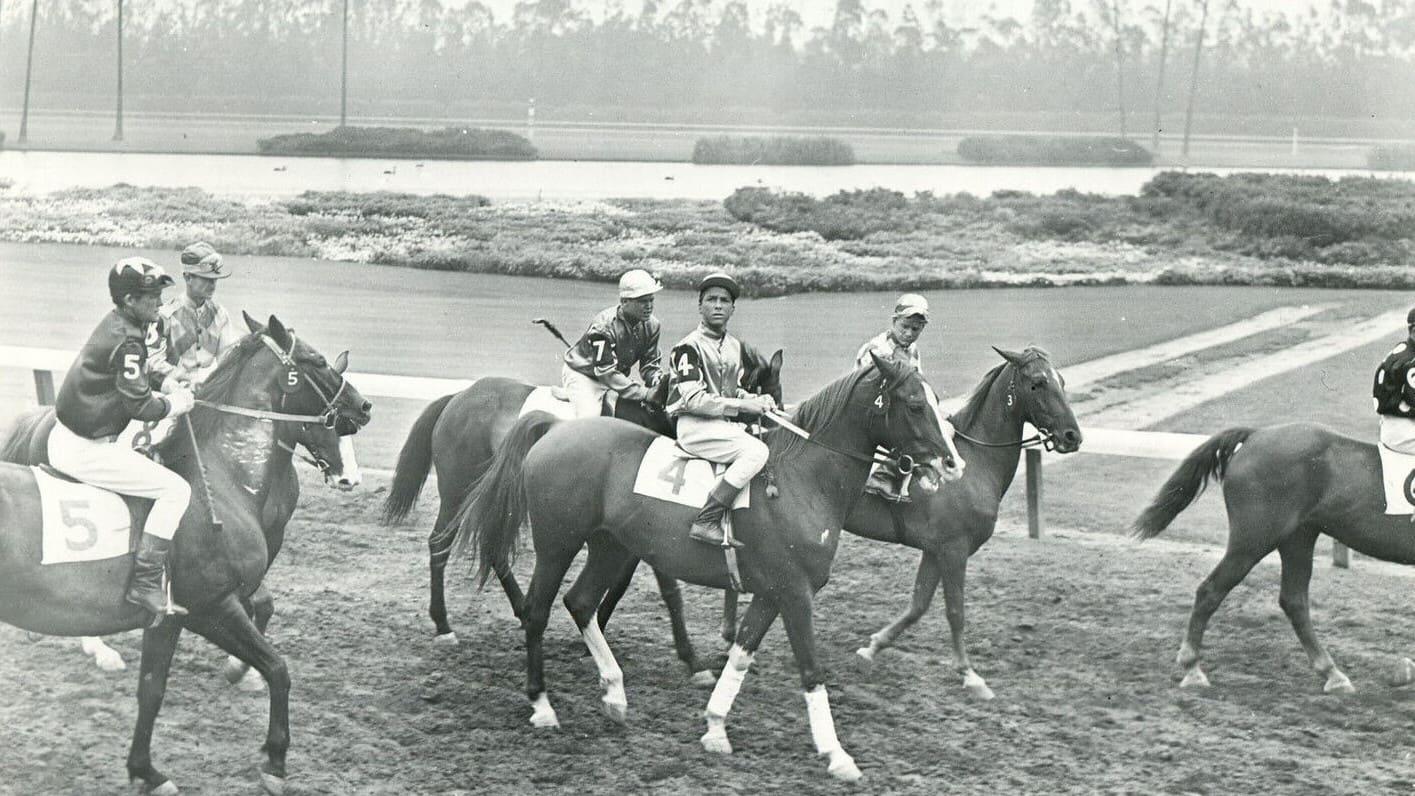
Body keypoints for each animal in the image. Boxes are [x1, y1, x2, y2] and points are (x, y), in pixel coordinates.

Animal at [0, 318, 370, 796]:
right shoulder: (210, 606)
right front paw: (274, 759)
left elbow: (152, 689)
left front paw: (145, 770)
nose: (364, 407)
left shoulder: (170, 619)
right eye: (318, 361)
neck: (220, 477)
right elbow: (278, 667)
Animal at [382, 342, 781, 684]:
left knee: (494, 549)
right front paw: (693, 660)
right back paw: (444, 625)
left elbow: (621, 583)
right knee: (440, 544)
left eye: (776, 396)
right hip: (456, 492)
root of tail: (459, 397)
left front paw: (593, 632)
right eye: (755, 391)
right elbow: (668, 590)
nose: (767, 449)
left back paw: (522, 609)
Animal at [447, 354, 945, 786]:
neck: (800, 481)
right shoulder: (795, 593)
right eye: (916, 404)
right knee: (537, 612)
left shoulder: (772, 594)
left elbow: (741, 655)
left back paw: (615, 694)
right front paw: (838, 755)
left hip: (611, 548)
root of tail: (555, 429)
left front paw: (716, 726)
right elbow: (810, 669)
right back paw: (542, 706)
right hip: (557, 546)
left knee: (581, 602)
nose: (949, 462)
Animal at [1132, 426, 1415, 695]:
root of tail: (1256, 435)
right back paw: (1192, 669)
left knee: (1293, 601)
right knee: (1210, 591)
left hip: (1297, 540)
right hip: (1252, 543)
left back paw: (1332, 674)